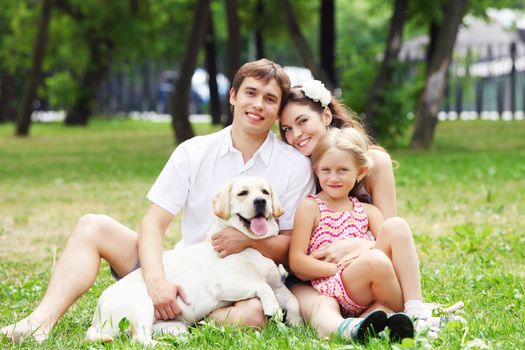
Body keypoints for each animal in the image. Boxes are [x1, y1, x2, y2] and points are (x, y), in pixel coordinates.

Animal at [85, 176, 298, 346]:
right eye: (243, 193)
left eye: (265, 192)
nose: (261, 201)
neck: (252, 245)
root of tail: (97, 318)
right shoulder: (224, 284)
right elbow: (262, 286)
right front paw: (274, 308)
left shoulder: (278, 286)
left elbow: (293, 301)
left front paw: (297, 324)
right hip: (142, 304)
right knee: (140, 340)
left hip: (173, 325)